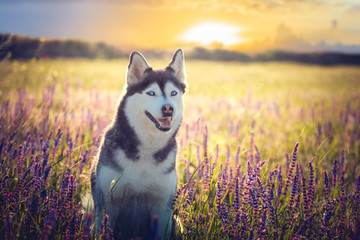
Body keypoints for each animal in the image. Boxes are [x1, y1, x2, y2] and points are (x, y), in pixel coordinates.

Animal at [90, 49, 188, 239]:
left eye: (173, 93)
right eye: (151, 93)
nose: (168, 108)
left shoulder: (162, 207)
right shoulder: (109, 202)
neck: (147, 148)